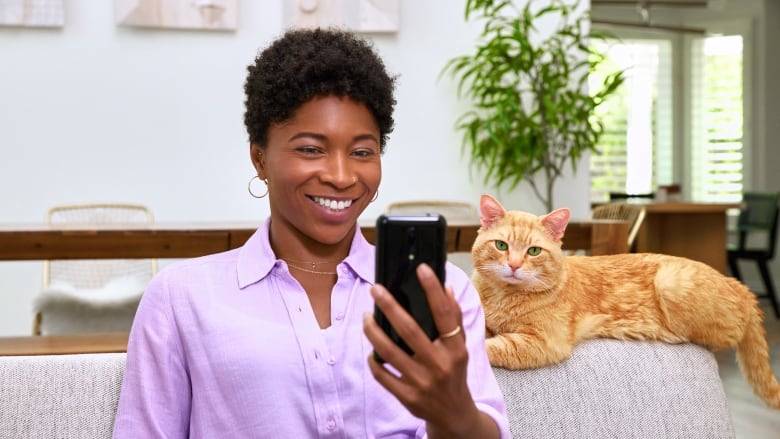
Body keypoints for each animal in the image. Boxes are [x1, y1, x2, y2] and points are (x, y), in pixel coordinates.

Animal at [470, 194, 780, 410]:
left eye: (533, 251)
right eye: (501, 246)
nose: (513, 265)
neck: (503, 296)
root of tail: (739, 285)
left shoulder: (545, 342)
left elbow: (492, 346)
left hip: (671, 283)